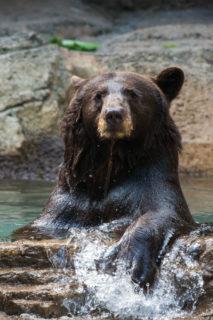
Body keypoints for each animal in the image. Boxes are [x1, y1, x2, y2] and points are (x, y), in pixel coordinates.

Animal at [14, 67, 196, 284]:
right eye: (98, 95)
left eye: (133, 93)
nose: (113, 114)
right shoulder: (72, 200)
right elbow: (39, 226)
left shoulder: (152, 182)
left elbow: (163, 212)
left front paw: (130, 261)